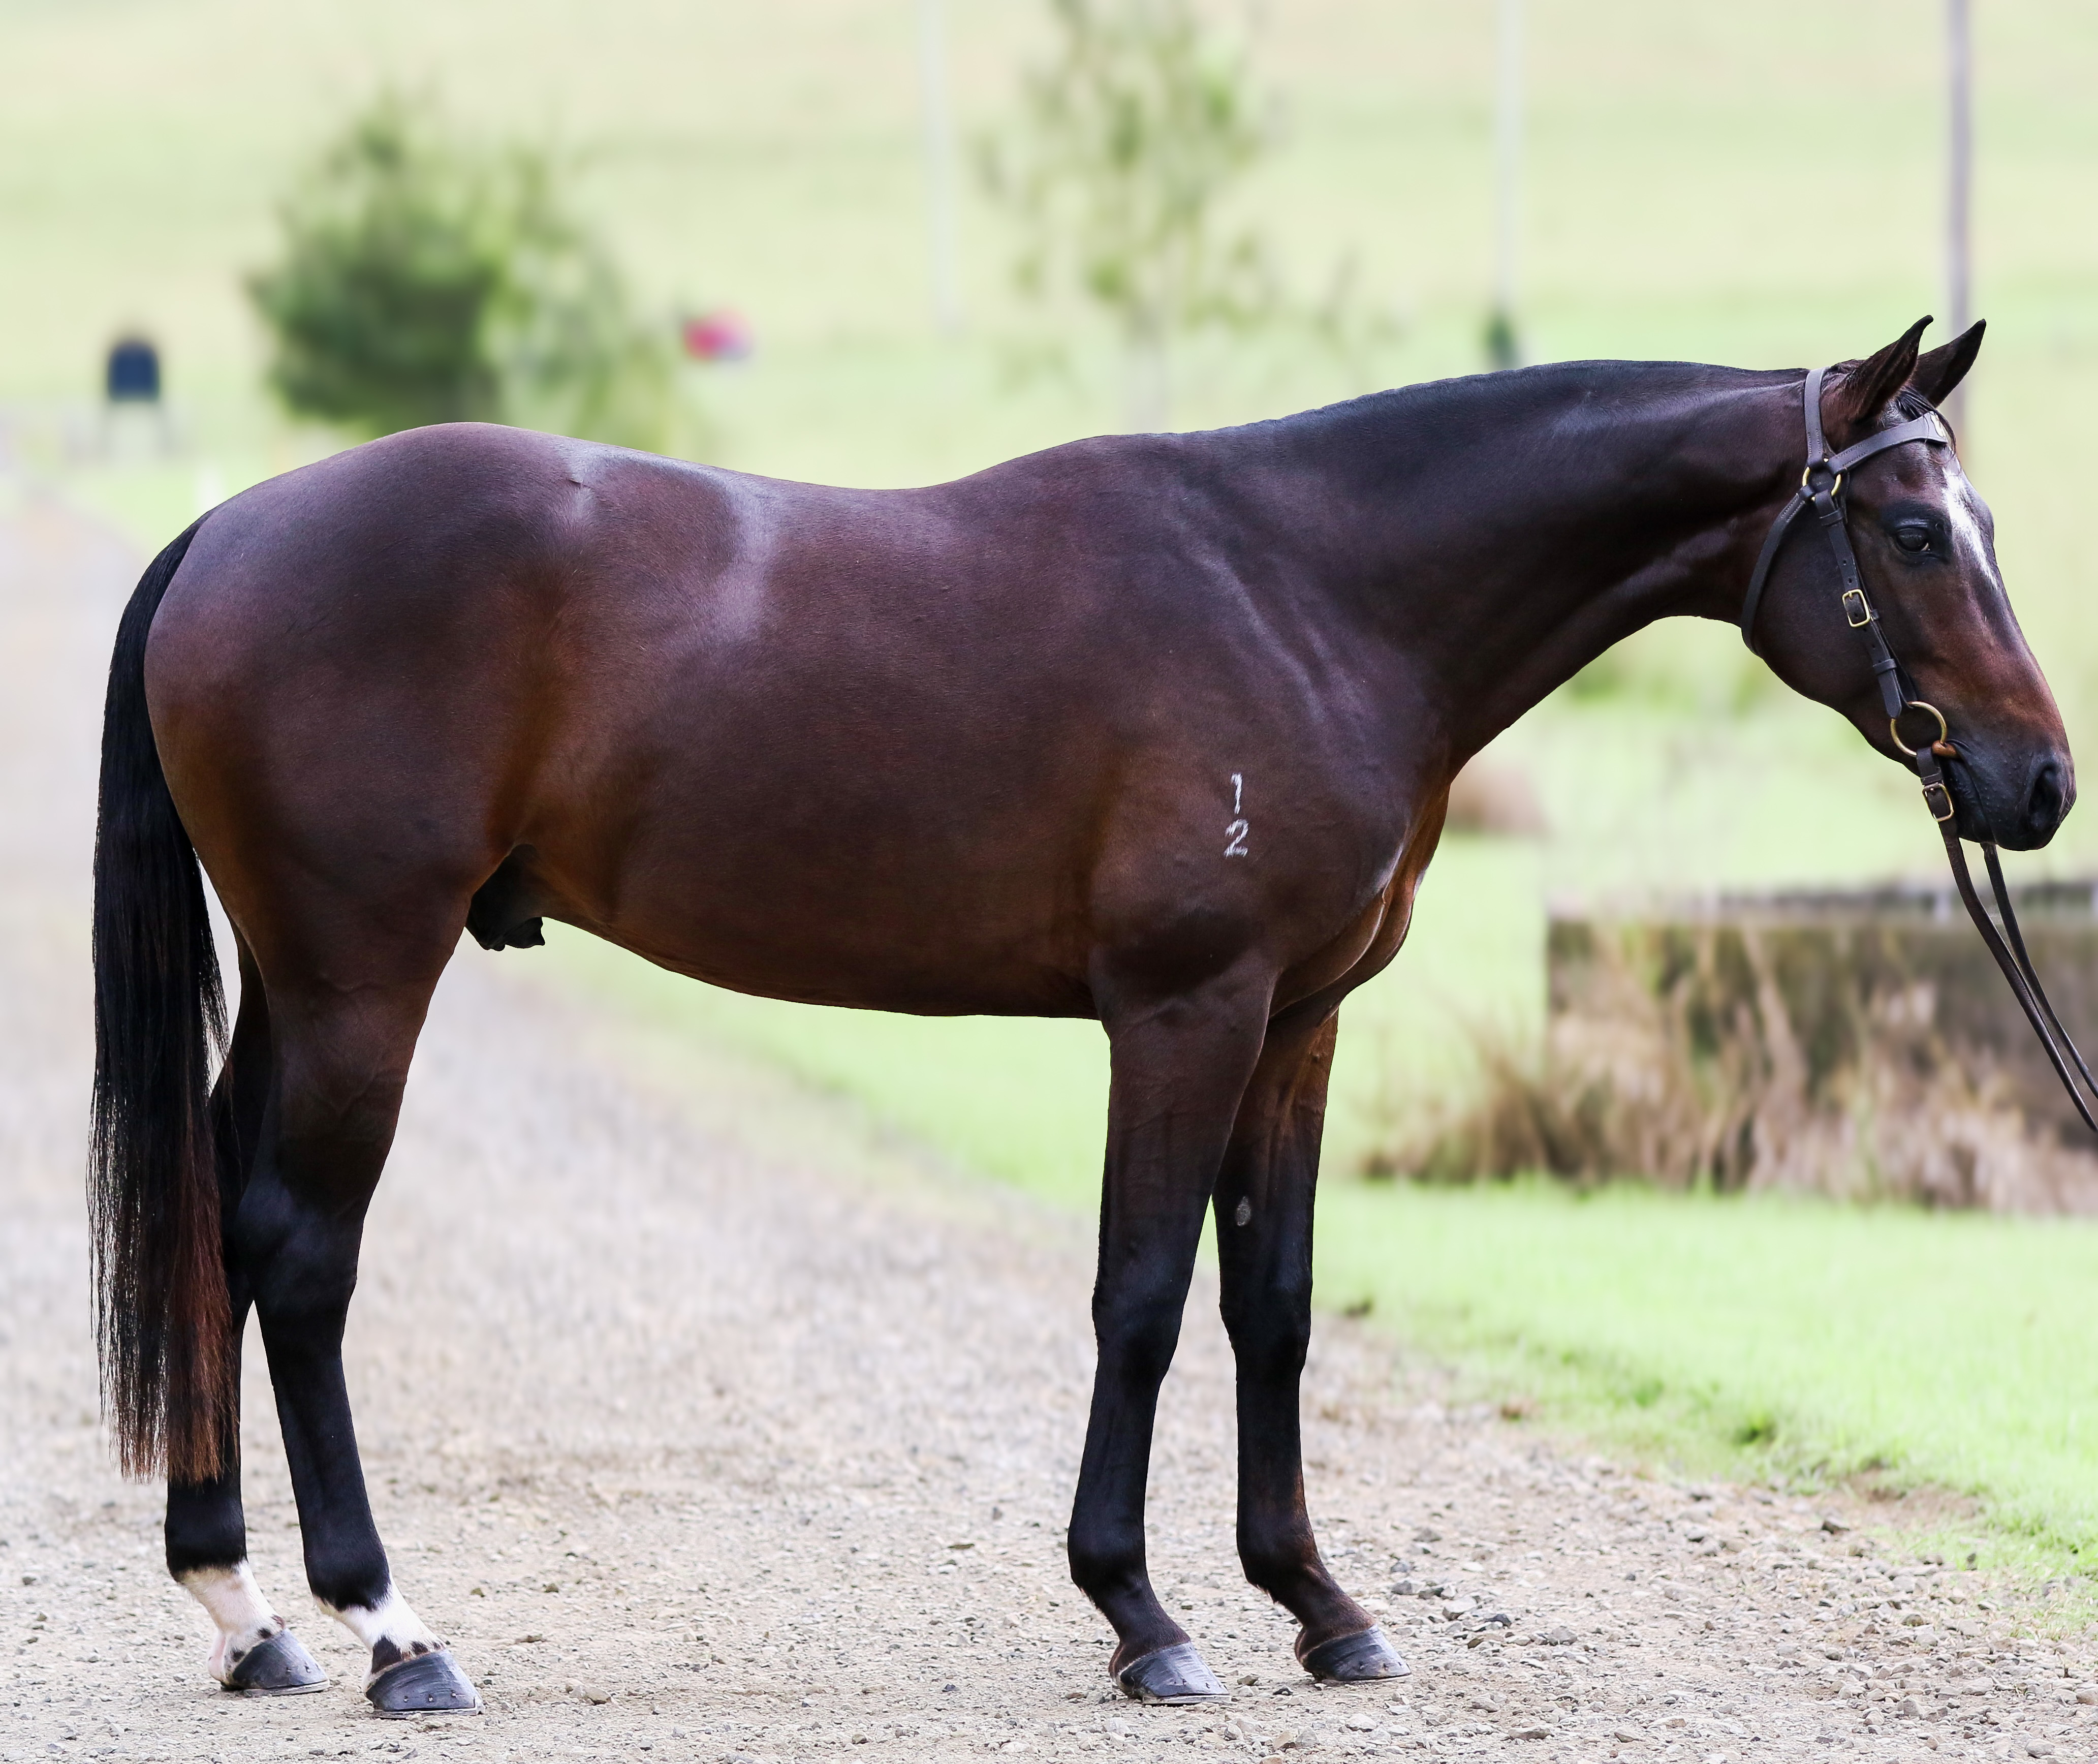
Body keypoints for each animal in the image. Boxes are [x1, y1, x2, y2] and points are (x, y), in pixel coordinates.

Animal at [90, 316, 2067, 1715]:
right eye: (1909, 527)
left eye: (1979, 517)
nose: (2034, 782)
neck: (1309, 593)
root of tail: (227, 530)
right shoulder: (1183, 1013)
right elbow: (1140, 1297)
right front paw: (1140, 1612)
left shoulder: (1295, 1021)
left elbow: (1269, 1306)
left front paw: (1319, 1607)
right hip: (363, 977)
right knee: (301, 1257)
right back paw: (388, 1628)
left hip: (300, 991)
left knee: (215, 1223)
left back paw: (242, 1610)